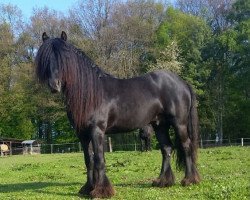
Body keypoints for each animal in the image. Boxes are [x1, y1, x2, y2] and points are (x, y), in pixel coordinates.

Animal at [35, 31, 200, 198]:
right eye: (46, 59)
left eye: (64, 58)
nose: (54, 85)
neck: (92, 94)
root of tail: (182, 83)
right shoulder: (82, 134)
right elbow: (89, 160)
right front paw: (88, 188)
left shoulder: (97, 131)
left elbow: (99, 159)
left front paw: (102, 190)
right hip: (160, 125)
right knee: (166, 149)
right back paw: (163, 181)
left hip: (179, 123)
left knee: (186, 146)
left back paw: (189, 180)